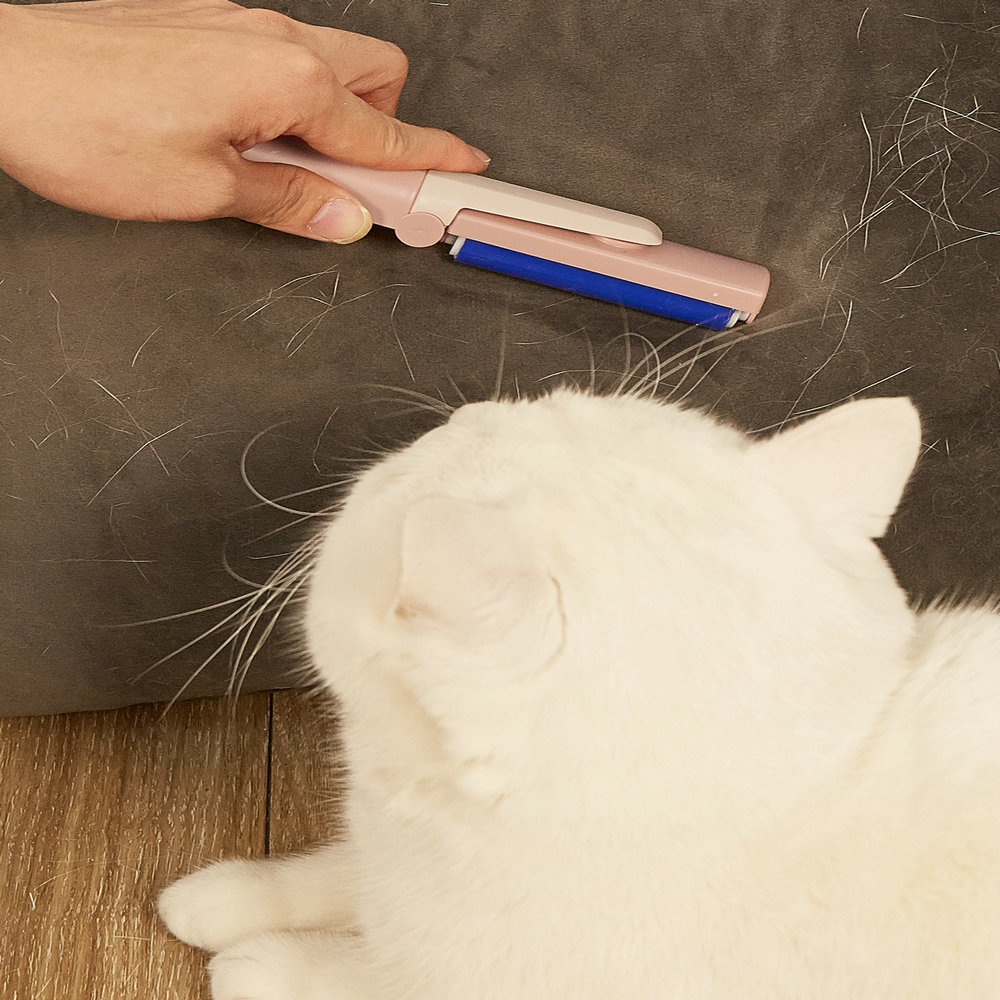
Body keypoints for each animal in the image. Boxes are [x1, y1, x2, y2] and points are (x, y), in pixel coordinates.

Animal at [158, 388, 1000, 999]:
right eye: (554, 401)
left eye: (395, 479)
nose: (466, 411)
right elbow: (340, 870)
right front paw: (230, 898)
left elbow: (362, 981)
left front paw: (262, 965)